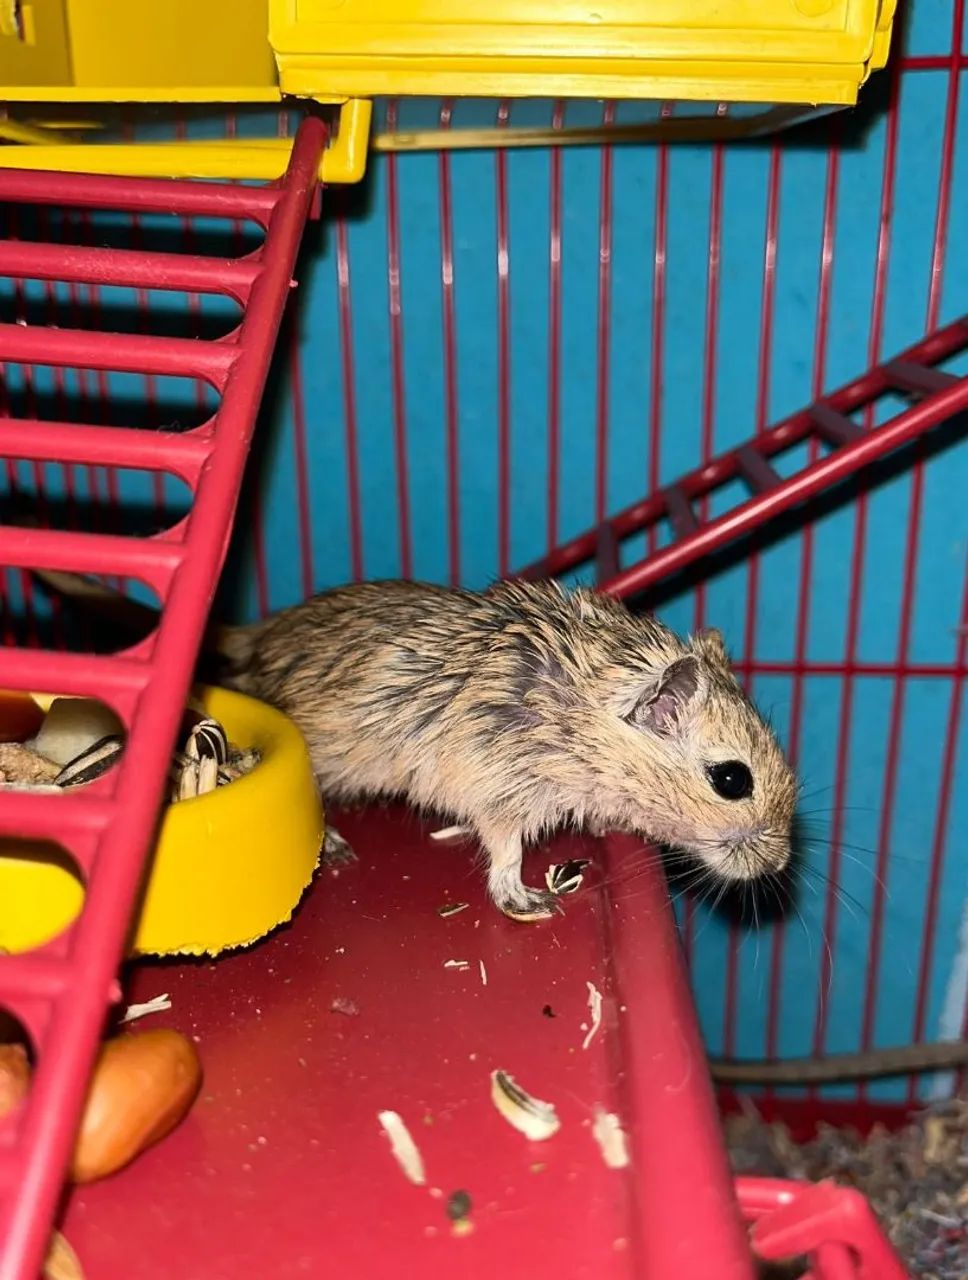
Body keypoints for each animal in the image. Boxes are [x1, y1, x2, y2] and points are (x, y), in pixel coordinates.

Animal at [37, 573, 798, 921]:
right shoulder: (504, 794)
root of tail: (257, 636)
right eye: (732, 781)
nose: (778, 864)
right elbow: (504, 854)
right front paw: (529, 902)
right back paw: (337, 846)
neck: (581, 715)